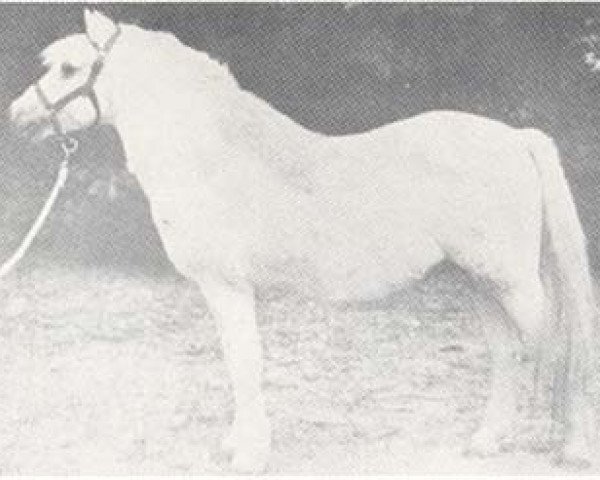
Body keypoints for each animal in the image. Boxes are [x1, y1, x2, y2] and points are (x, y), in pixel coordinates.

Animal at [9, 10, 600, 472]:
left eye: (70, 68)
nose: (17, 115)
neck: (212, 156)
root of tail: (514, 137)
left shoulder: (228, 286)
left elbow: (246, 363)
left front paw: (250, 455)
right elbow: (235, 362)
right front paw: (235, 445)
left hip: (513, 284)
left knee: (560, 352)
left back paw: (572, 449)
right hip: (480, 283)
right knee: (508, 355)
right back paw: (485, 442)